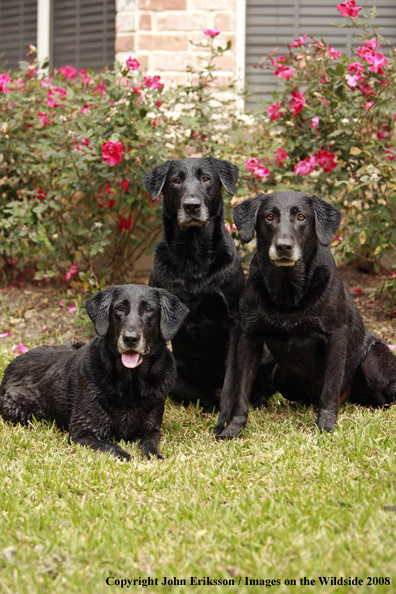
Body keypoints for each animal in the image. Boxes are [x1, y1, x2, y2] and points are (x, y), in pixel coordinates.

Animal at [0, 284, 189, 458]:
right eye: (119, 308)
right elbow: (113, 449)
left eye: (149, 309)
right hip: (20, 410)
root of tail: (12, 363)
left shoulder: (152, 428)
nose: (130, 339)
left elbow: (150, 444)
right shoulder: (81, 433)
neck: (130, 382)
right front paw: (128, 457)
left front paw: (154, 457)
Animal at [144, 156, 246, 426]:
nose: (191, 206)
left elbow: (231, 381)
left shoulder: (233, 319)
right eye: (176, 181)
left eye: (206, 178)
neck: (193, 257)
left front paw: (227, 421)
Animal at [218, 192, 396, 438]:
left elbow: (329, 390)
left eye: (301, 217)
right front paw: (233, 429)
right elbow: (240, 393)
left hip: (374, 362)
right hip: (280, 375)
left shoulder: (336, 335)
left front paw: (326, 426)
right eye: (269, 216)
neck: (288, 294)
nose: (284, 247)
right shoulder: (249, 337)